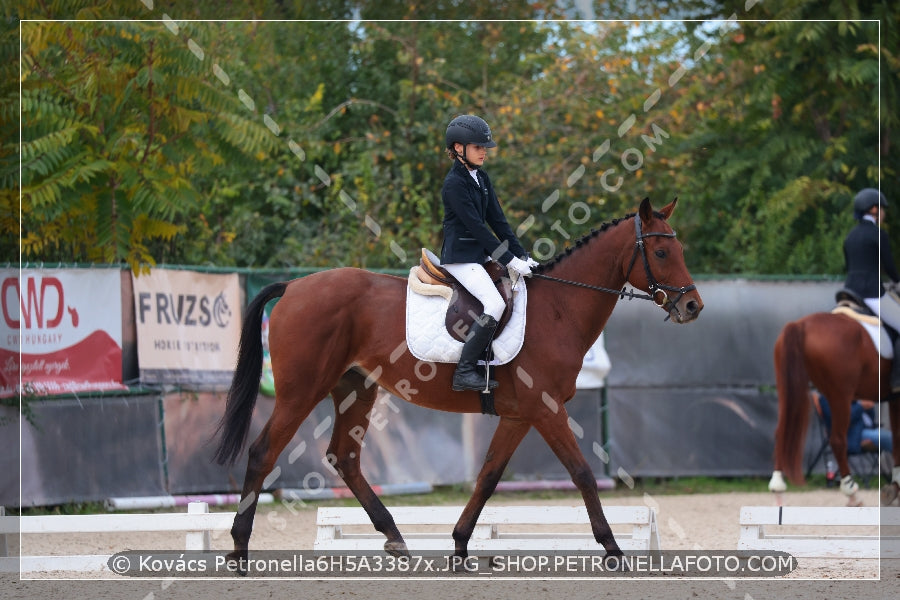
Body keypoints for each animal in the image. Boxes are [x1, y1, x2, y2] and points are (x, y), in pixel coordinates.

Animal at [213, 198, 704, 568]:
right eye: (662, 254)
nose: (693, 307)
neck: (559, 309)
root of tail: (294, 287)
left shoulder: (519, 415)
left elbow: (487, 476)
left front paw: (462, 545)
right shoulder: (546, 409)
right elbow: (582, 472)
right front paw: (613, 549)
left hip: (356, 388)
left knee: (344, 457)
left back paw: (394, 536)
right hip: (302, 391)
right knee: (262, 453)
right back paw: (239, 550)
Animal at [768, 310, 900, 506]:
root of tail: (801, 325)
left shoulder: (894, 399)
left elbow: (897, 438)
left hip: (788, 388)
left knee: (782, 432)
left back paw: (777, 488)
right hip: (841, 396)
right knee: (838, 440)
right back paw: (852, 493)